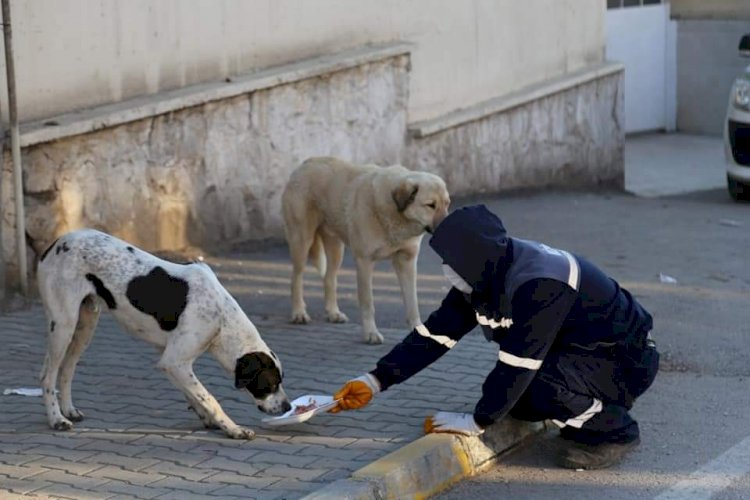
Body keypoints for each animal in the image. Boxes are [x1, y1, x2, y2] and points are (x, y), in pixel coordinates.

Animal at [280, 157, 446, 344]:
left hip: (336, 249)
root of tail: (306, 163)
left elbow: (413, 303)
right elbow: (368, 303)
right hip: (302, 242)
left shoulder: (407, 262)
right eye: (431, 205)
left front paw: (417, 330)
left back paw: (333, 313)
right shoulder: (364, 262)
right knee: (296, 278)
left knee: (329, 279)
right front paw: (370, 333)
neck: (393, 213)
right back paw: (299, 313)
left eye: (447, 204)